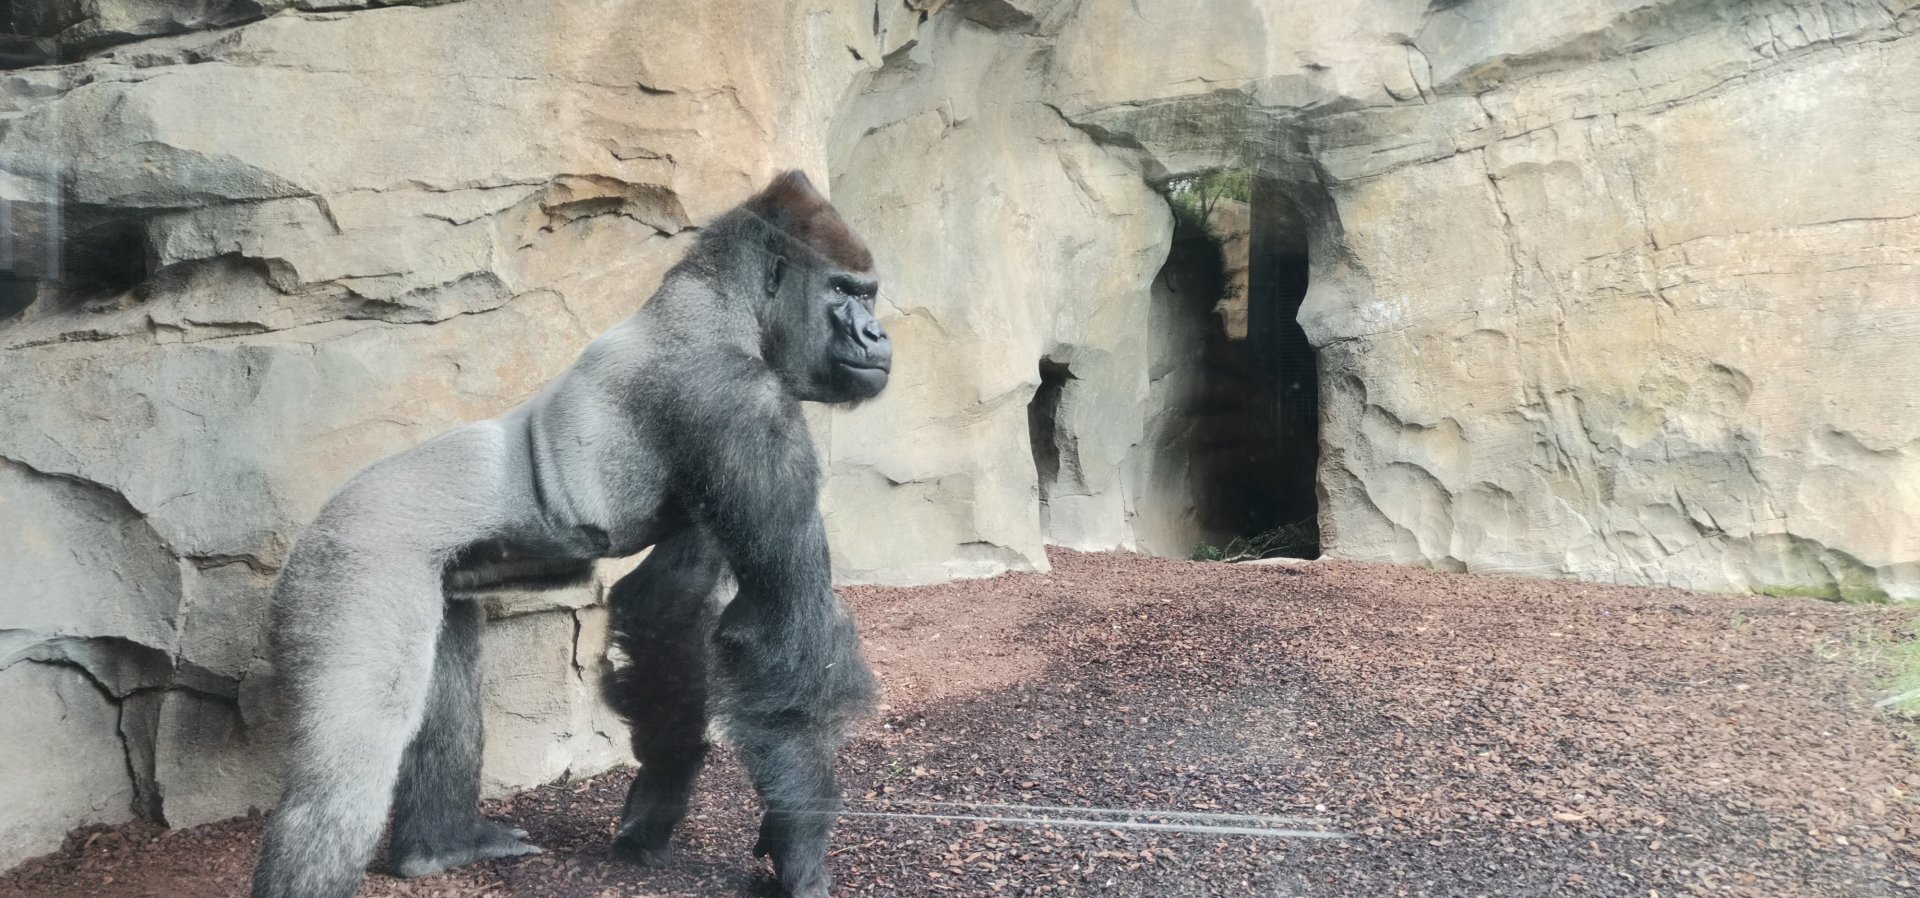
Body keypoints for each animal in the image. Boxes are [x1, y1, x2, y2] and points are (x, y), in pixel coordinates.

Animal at [250, 170, 890, 898]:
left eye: (868, 295)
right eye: (843, 292)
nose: (876, 334)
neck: (722, 304)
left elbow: (668, 606)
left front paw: (654, 804)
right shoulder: (742, 406)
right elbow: (780, 635)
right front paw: (800, 846)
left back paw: (437, 847)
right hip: (350, 553)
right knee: (349, 759)